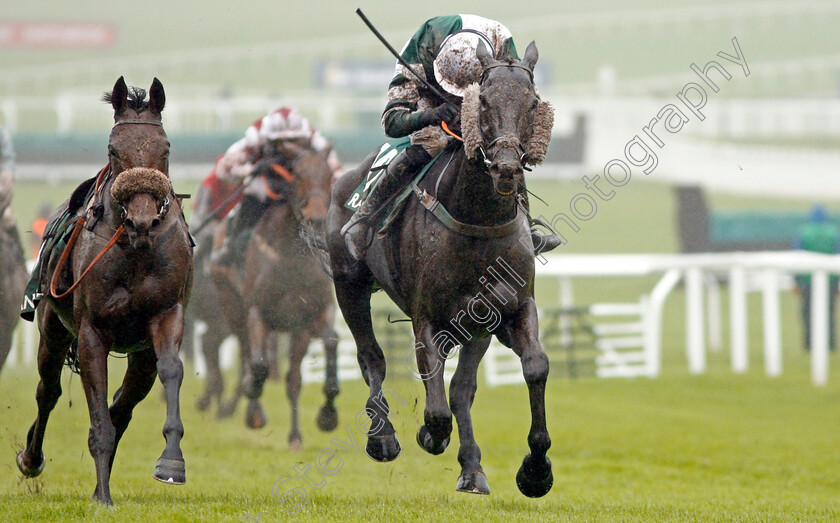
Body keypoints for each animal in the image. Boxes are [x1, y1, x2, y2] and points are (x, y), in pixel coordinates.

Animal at [15, 75, 193, 506]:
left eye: (165, 147)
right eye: (114, 149)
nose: (143, 220)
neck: (136, 249)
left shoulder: (166, 315)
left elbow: (171, 369)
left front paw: (172, 464)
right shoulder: (92, 330)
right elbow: (95, 413)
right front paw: (103, 495)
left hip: (140, 356)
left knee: (123, 407)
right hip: (53, 328)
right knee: (48, 389)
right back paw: (32, 458)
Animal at [210, 145, 338, 448]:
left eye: (329, 175)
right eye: (298, 174)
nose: (316, 218)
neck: (291, 256)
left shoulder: (312, 314)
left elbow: (328, 343)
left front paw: (327, 416)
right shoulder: (258, 311)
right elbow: (258, 365)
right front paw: (253, 403)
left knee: (293, 378)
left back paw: (294, 435)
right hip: (231, 305)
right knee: (246, 354)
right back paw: (247, 409)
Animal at [324, 43, 556, 498]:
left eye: (532, 102)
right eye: (483, 101)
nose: (506, 168)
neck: (479, 222)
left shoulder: (508, 309)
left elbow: (534, 366)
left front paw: (536, 470)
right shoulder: (426, 318)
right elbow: (434, 406)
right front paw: (430, 435)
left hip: (475, 327)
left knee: (461, 390)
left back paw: (472, 469)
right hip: (349, 284)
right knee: (371, 358)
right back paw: (382, 437)